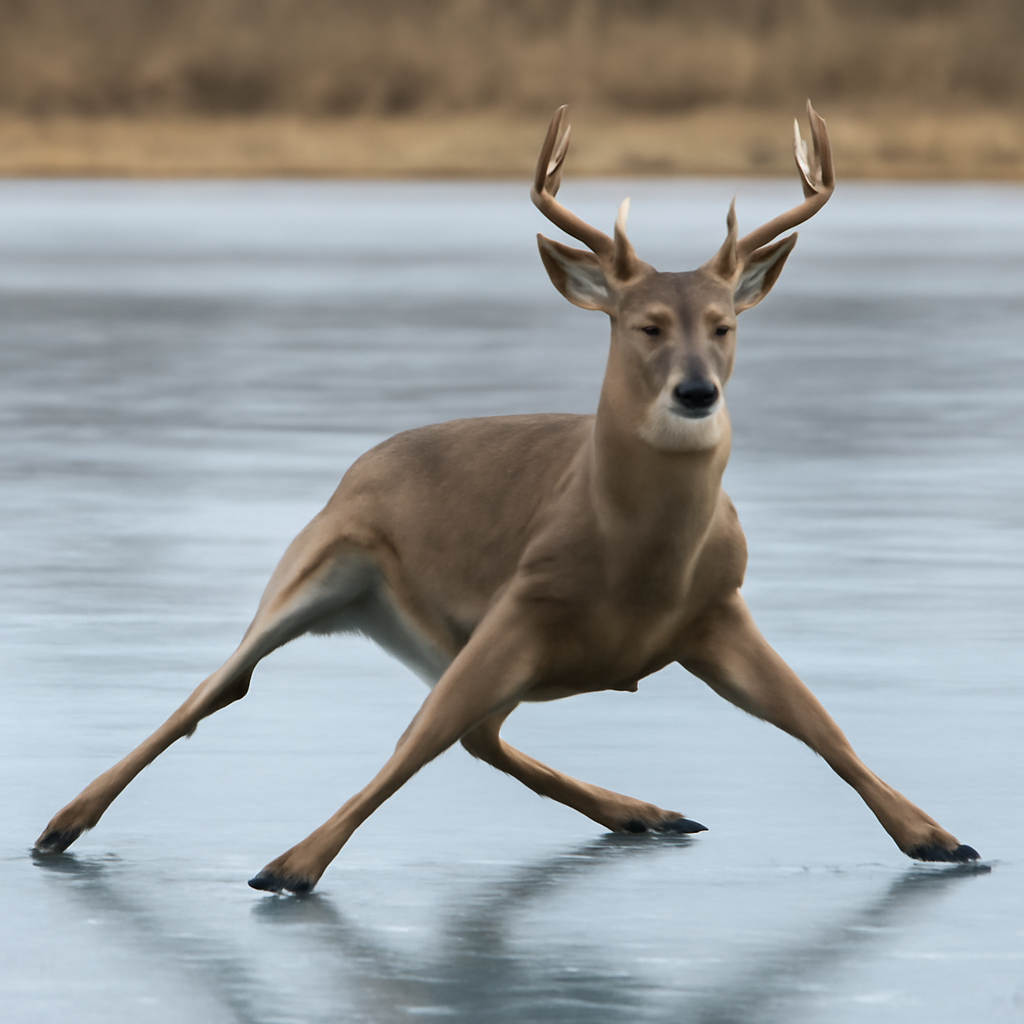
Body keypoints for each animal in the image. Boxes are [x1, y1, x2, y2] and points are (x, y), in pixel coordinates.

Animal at [34, 103, 979, 893]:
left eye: (724, 324)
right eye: (644, 325)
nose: (696, 392)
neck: (634, 564)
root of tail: (359, 463)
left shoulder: (718, 610)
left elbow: (825, 727)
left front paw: (939, 837)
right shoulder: (523, 600)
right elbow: (409, 745)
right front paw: (291, 865)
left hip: (435, 636)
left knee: (477, 736)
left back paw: (648, 813)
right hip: (320, 564)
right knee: (219, 687)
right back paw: (59, 825)